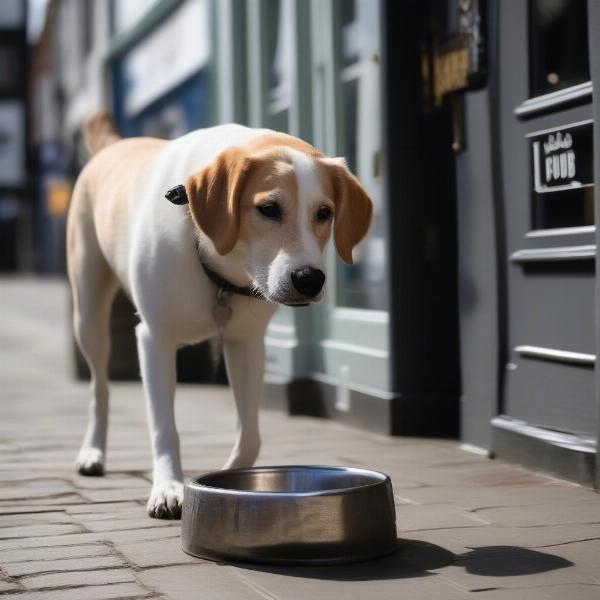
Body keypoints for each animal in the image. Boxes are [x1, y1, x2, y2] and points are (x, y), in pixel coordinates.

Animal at [68, 111, 372, 516]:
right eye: (268, 209)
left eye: (324, 213)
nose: (309, 279)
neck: (218, 260)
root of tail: (115, 145)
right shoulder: (154, 340)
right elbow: (164, 428)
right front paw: (168, 488)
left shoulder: (247, 343)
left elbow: (251, 436)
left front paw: (228, 474)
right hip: (88, 315)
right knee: (99, 387)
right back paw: (92, 451)